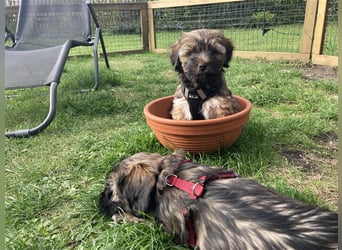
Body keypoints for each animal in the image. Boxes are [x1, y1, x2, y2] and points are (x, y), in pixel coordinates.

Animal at [99, 150, 340, 250]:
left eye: (109, 191)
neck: (170, 177)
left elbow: (137, 220)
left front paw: (121, 217)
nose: (98, 201)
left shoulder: (162, 230)